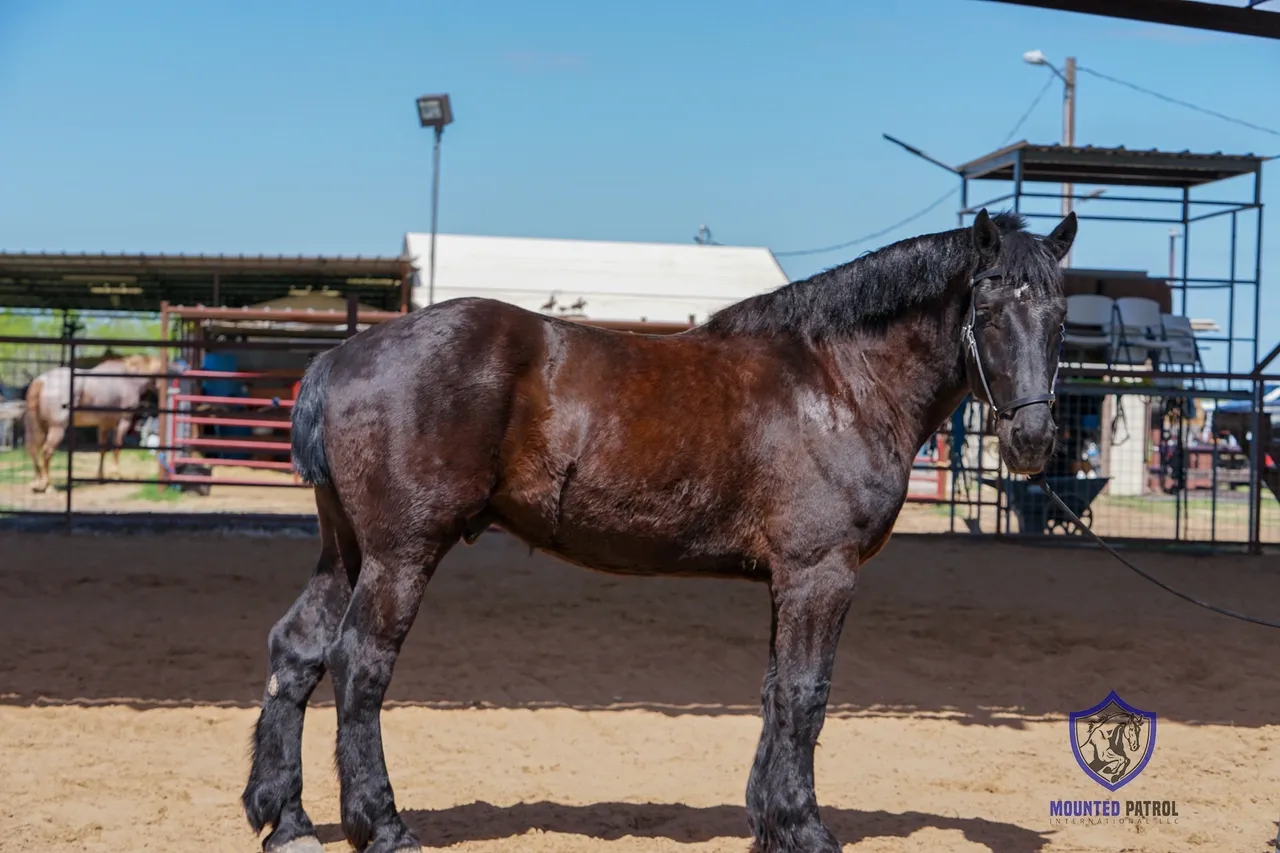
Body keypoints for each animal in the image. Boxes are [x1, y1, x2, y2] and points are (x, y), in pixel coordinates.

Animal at [24, 353, 164, 493]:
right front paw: (116, 475)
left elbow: (102, 449)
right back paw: (48, 486)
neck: (127, 379)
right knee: (47, 451)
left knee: (33, 450)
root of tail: (41, 381)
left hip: (41, 427)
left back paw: (37, 483)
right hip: (56, 428)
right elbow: (117, 447)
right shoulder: (123, 422)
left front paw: (100, 477)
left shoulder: (104, 425)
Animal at [242, 208, 1077, 853]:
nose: (1034, 440)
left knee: (297, 649)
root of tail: (345, 355)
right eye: (989, 309)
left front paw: (770, 820)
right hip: (401, 554)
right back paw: (381, 825)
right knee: (360, 664)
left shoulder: (790, 579)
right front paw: (804, 827)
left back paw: (287, 818)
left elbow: (776, 690)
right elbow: (806, 691)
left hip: (348, 549)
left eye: (1061, 317)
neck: (838, 379)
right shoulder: (821, 570)